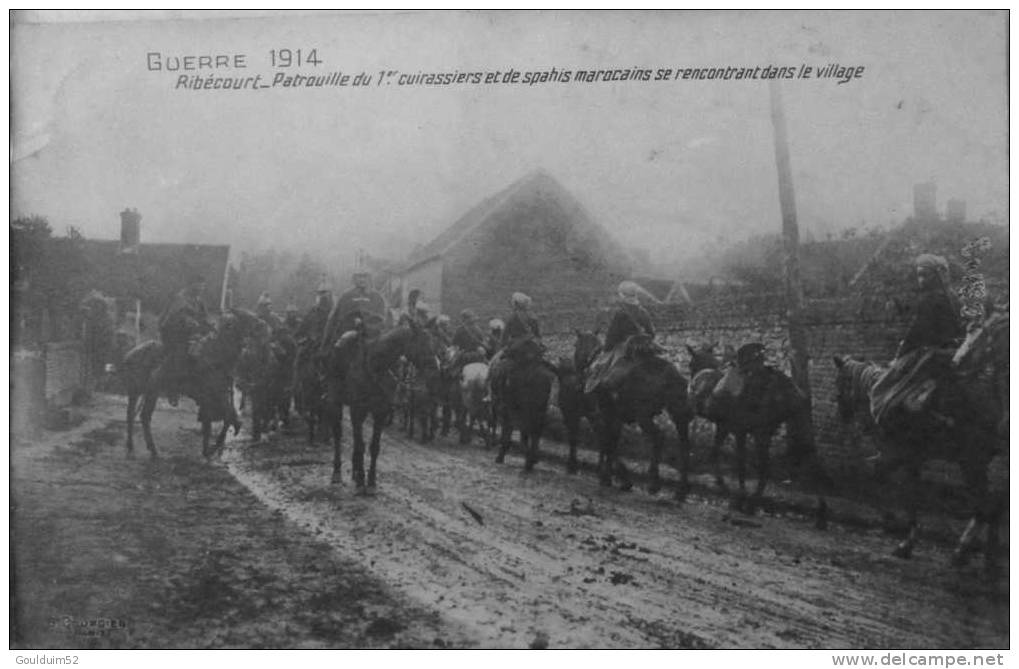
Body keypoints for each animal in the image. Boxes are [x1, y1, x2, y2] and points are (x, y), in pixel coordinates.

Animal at [120, 309, 264, 460]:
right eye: (245, 317)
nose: (262, 325)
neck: (216, 356)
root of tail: (129, 354)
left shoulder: (216, 398)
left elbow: (224, 419)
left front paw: (210, 449)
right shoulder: (210, 399)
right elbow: (221, 420)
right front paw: (211, 449)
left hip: (141, 392)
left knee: (134, 415)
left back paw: (133, 446)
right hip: (146, 391)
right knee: (142, 416)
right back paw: (151, 450)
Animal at [322, 317, 434, 490]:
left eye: (432, 341)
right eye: (422, 342)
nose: (436, 366)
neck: (375, 365)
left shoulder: (381, 412)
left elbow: (374, 447)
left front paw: (371, 480)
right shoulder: (357, 410)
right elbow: (360, 445)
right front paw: (362, 479)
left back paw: (355, 471)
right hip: (336, 403)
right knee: (338, 434)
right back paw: (337, 473)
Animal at [831, 309, 1006, 566]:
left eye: (840, 380)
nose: (843, 414)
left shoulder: (896, 456)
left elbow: (889, 484)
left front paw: (898, 531)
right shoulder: (912, 458)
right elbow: (905, 491)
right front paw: (904, 535)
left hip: (972, 460)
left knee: (987, 505)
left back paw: (965, 552)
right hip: (976, 461)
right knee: (991, 505)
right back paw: (972, 553)